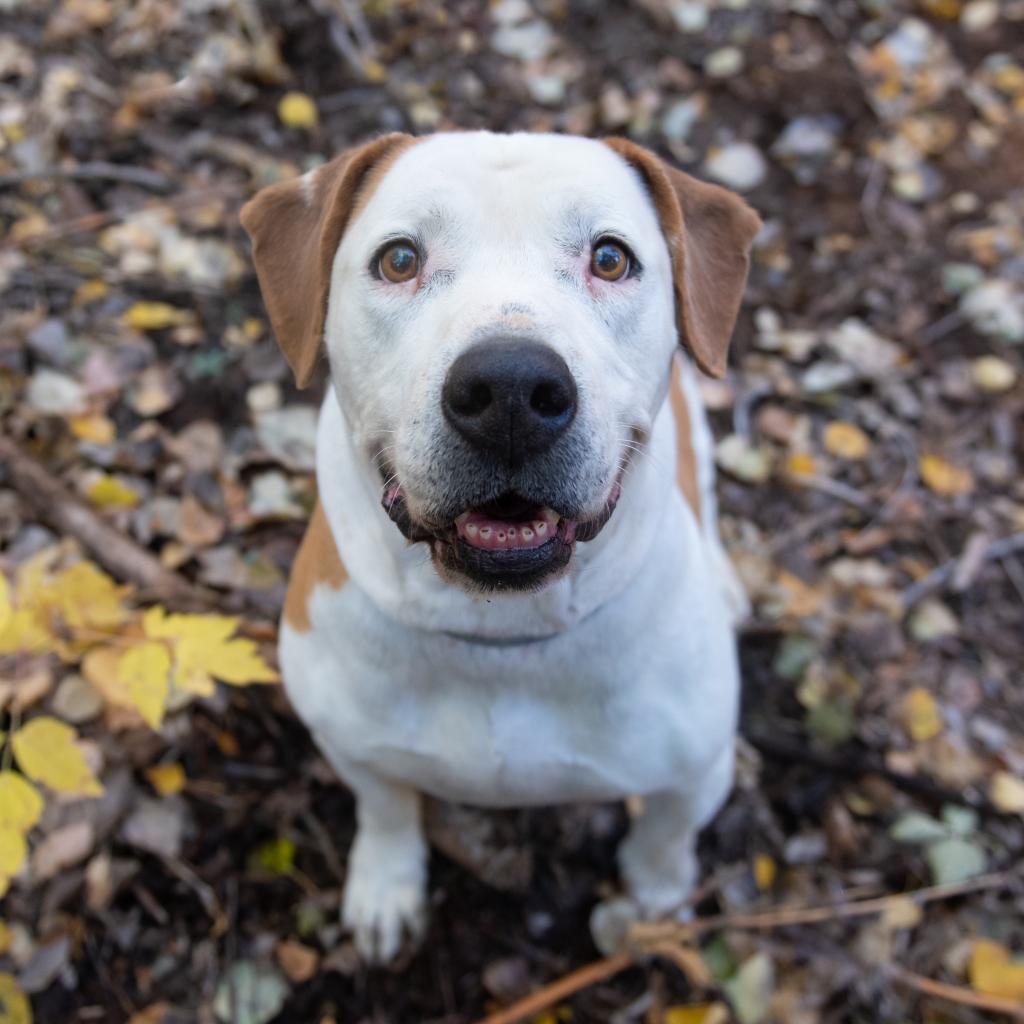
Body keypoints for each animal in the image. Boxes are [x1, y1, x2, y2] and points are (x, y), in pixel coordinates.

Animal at [239, 132, 761, 962]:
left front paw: (655, 897)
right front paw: (385, 886)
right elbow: (386, 806)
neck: (499, 630)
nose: (511, 388)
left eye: (610, 258)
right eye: (399, 259)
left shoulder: (692, 771)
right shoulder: (349, 741)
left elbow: (666, 835)